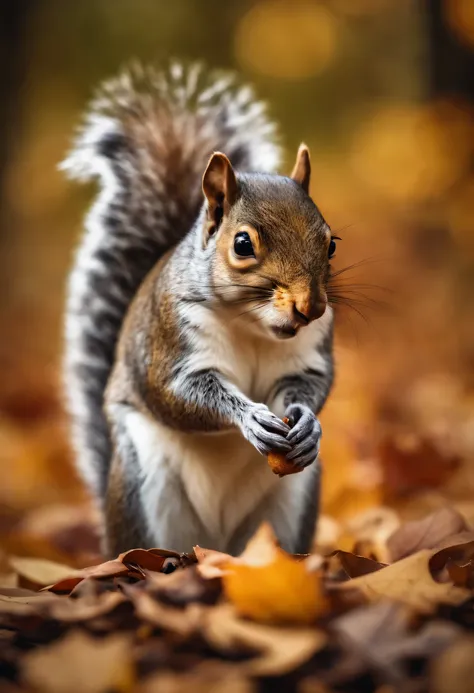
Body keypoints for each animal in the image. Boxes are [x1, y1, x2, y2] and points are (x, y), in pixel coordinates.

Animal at [63, 60, 336, 556]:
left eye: (331, 244)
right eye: (243, 244)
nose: (311, 307)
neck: (253, 326)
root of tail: (214, 547)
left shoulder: (310, 351)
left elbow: (312, 383)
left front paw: (308, 422)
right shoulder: (169, 339)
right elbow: (179, 393)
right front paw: (250, 417)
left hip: (290, 503)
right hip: (144, 483)